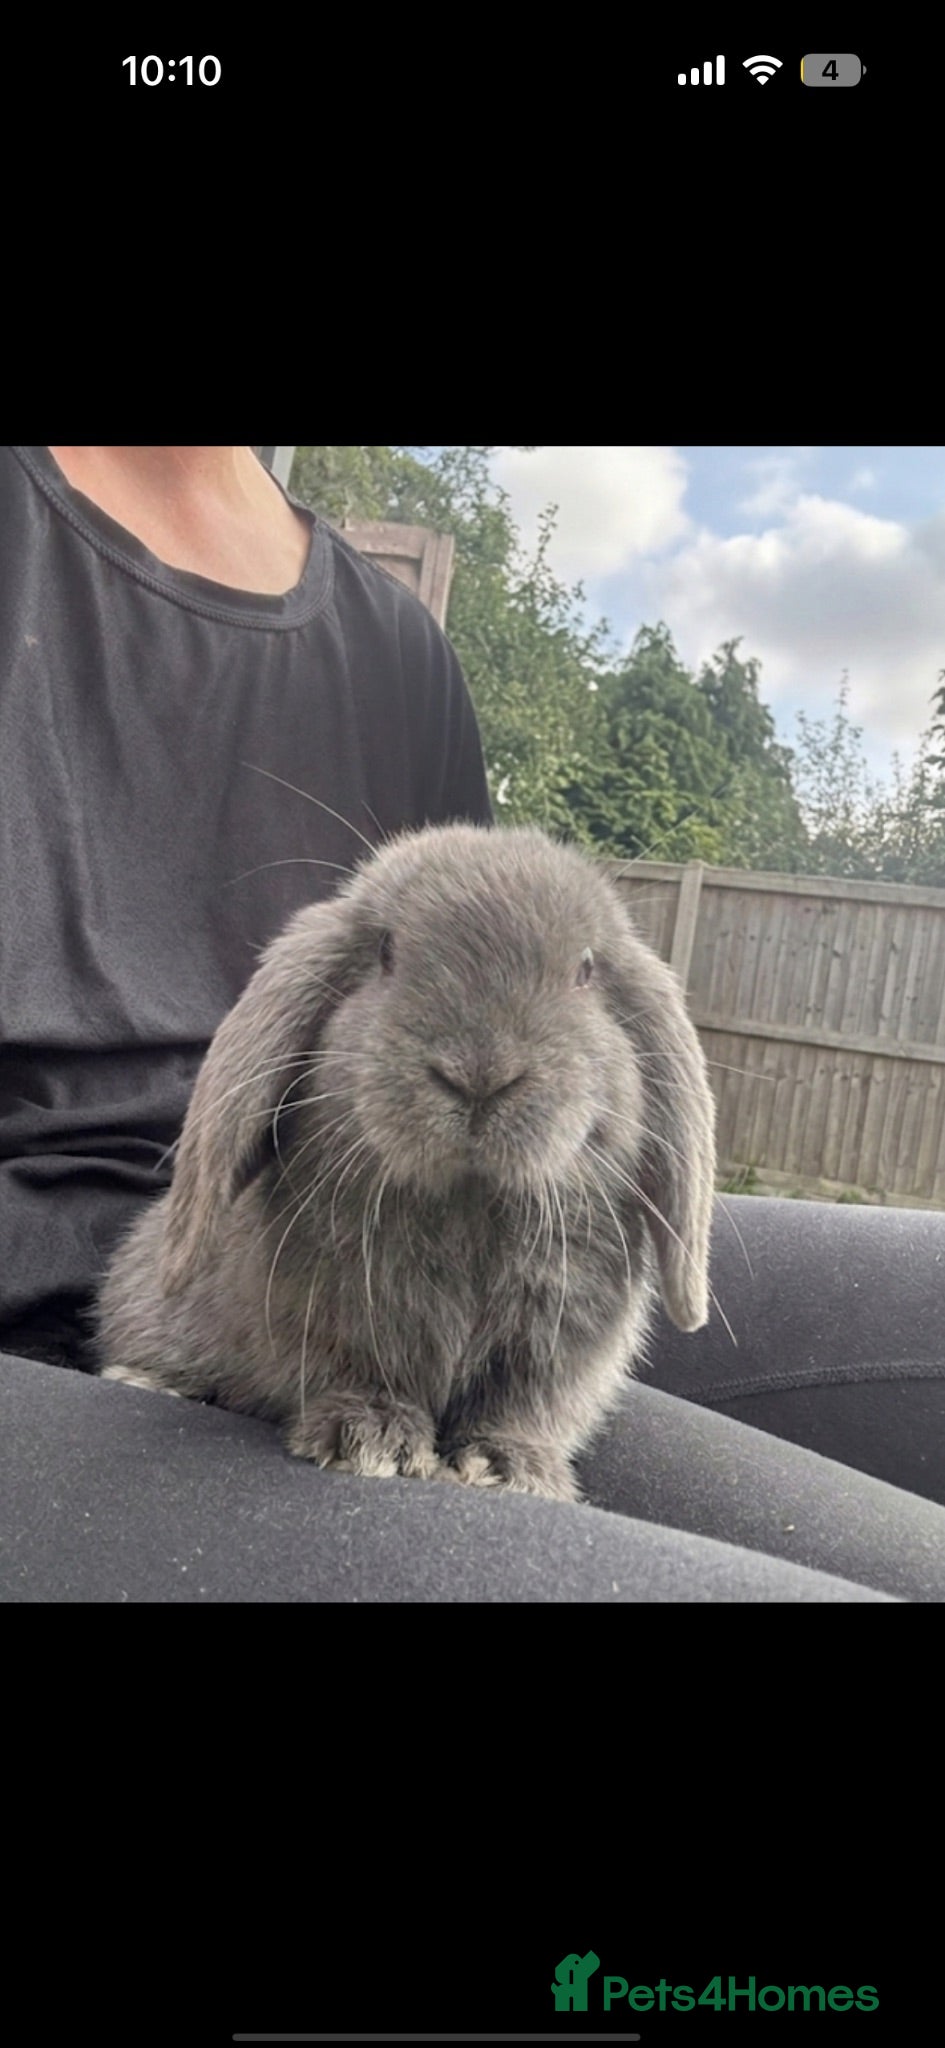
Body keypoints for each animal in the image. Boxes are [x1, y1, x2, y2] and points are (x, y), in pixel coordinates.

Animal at [96, 823, 716, 1503]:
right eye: (387, 952)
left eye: (584, 971)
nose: (479, 1075)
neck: (470, 1201)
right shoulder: (340, 1322)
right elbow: (359, 1375)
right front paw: (372, 1441)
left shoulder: (551, 1350)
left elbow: (520, 1410)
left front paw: (508, 1468)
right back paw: (149, 1381)